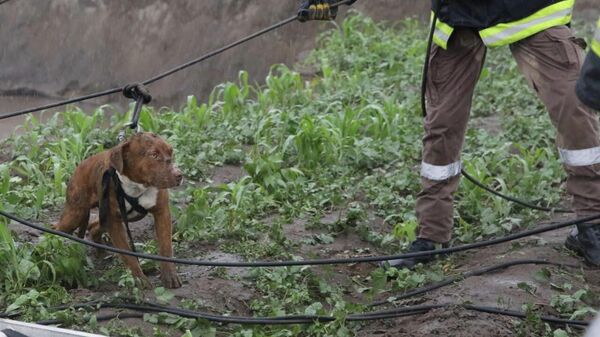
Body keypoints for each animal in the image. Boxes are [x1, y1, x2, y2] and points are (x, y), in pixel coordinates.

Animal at [55, 131, 184, 286]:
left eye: (171, 151)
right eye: (154, 155)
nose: (179, 175)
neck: (137, 186)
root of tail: (81, 164)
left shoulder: (162, 213)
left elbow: (166, 247)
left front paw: (170, 276)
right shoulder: (114, 223)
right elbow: (128, 255)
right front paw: (140, 279)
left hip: (105, 216)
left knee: (93, 226)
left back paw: (100, 250)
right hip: (75, 214)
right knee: (57, 229)